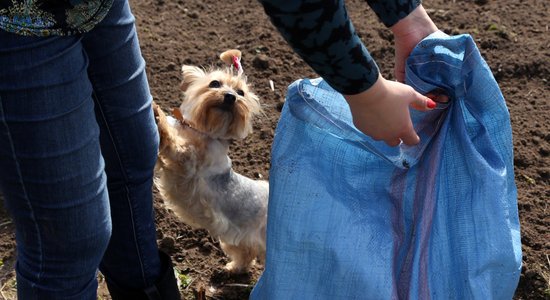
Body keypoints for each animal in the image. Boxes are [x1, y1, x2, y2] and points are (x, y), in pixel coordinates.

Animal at [153, 50, 270, 274]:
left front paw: (157, 114)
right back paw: (232, 269)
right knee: (246, 254)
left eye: (241, 92)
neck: (205, 132)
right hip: (234, 239)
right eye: (215, 83)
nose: (231, 96)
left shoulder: (187, 160)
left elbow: (173, 141)